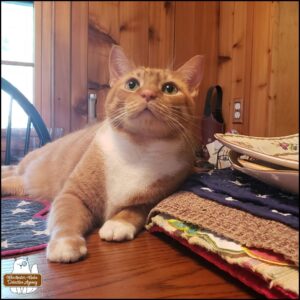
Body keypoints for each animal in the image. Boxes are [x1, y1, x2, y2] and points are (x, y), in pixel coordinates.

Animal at [1, 45, 204, 264]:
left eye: (169, 88)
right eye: (132, 84)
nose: (148, 94)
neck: (139, 149)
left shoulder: (150, 201)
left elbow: (133, 211)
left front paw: (118, 224)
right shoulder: (73, 194)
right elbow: (66, 218)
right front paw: (65, 244)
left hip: (26, 184)